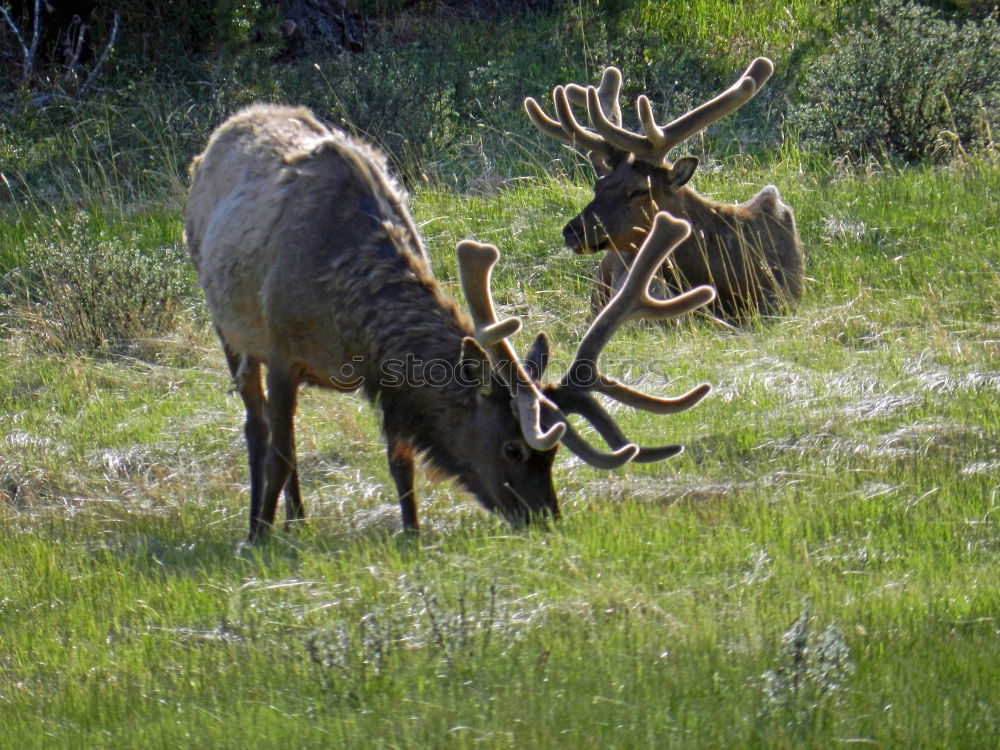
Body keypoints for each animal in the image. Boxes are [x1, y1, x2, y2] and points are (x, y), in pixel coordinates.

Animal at [188, 103, 716, 544]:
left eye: (552, 454)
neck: (350, 317)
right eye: (512, 449)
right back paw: (267, 523)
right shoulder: (281, 351)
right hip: (227, 324)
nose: (545, 518)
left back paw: (297, 521)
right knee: (259, 429)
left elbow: (400, 461)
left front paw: (412, 534)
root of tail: (232, 123)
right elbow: (279, 453)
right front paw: (258, 539)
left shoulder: (387, 378)